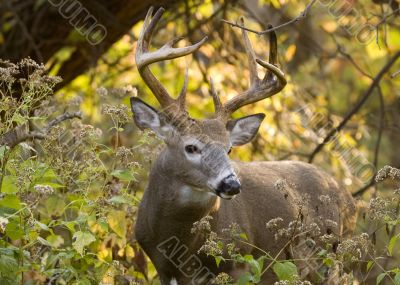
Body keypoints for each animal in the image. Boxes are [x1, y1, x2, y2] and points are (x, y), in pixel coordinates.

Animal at [130, 6, 356, 284]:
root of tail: (348, 196)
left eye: (228, 148)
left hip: (331, 256)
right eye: (191, 147)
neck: (177, 243)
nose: (232, 184)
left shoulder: (239, 262)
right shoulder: (161, 267)